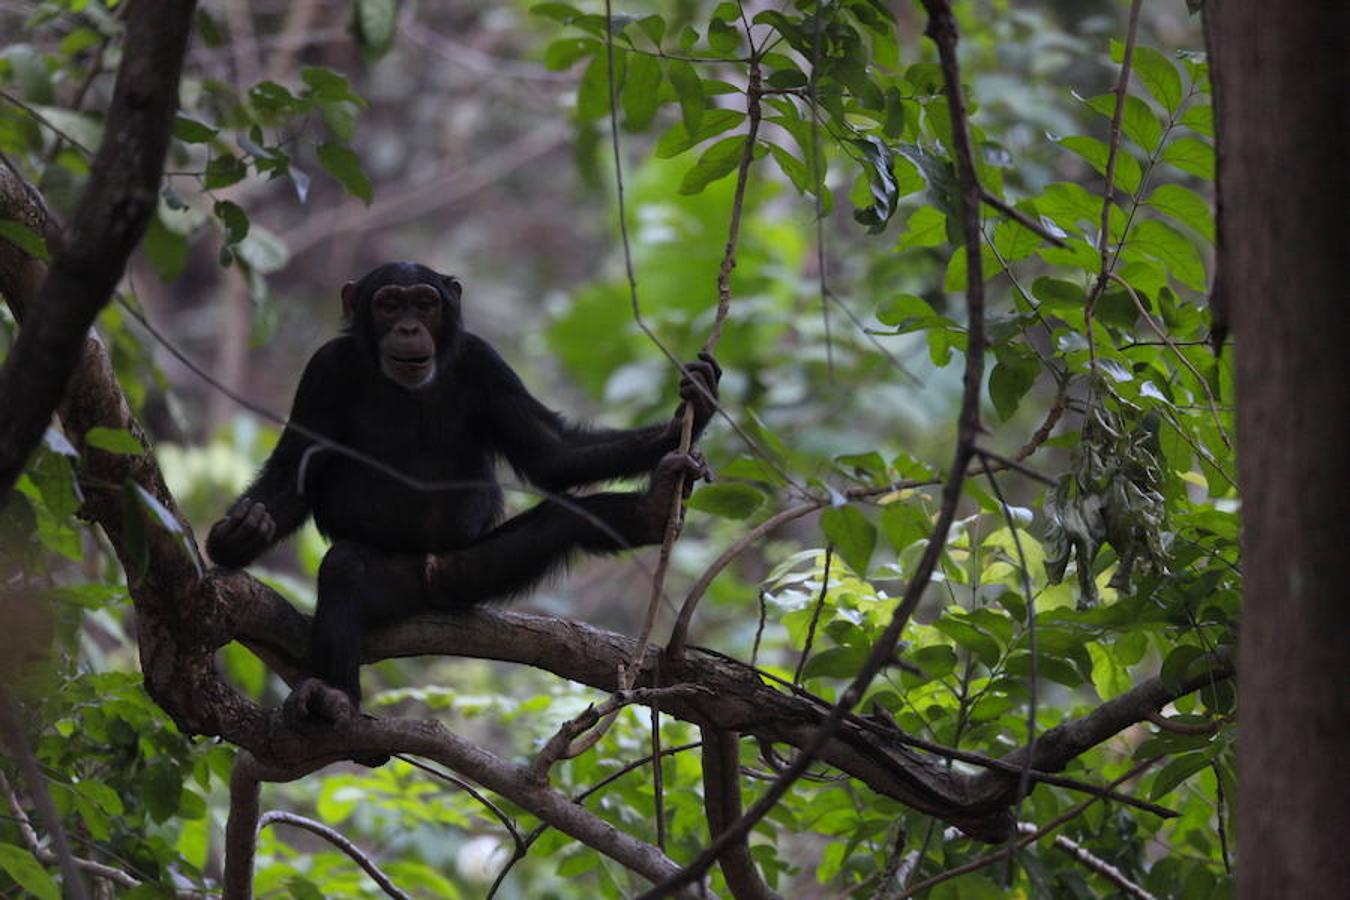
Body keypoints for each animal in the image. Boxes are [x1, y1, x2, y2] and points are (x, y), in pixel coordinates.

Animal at [206, 256, 723, 723]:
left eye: (425, 304)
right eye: (388, 305)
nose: (409, 327)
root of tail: (432, 578)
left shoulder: (485, 360)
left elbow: (552, 453)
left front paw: (693, 409)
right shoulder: (322, 370)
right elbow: (293, 469)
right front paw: (238, 536)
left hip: (471, 572)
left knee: (565, 519)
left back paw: (654, 509)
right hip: (401, 583)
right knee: (345, 568)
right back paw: (336, 694)